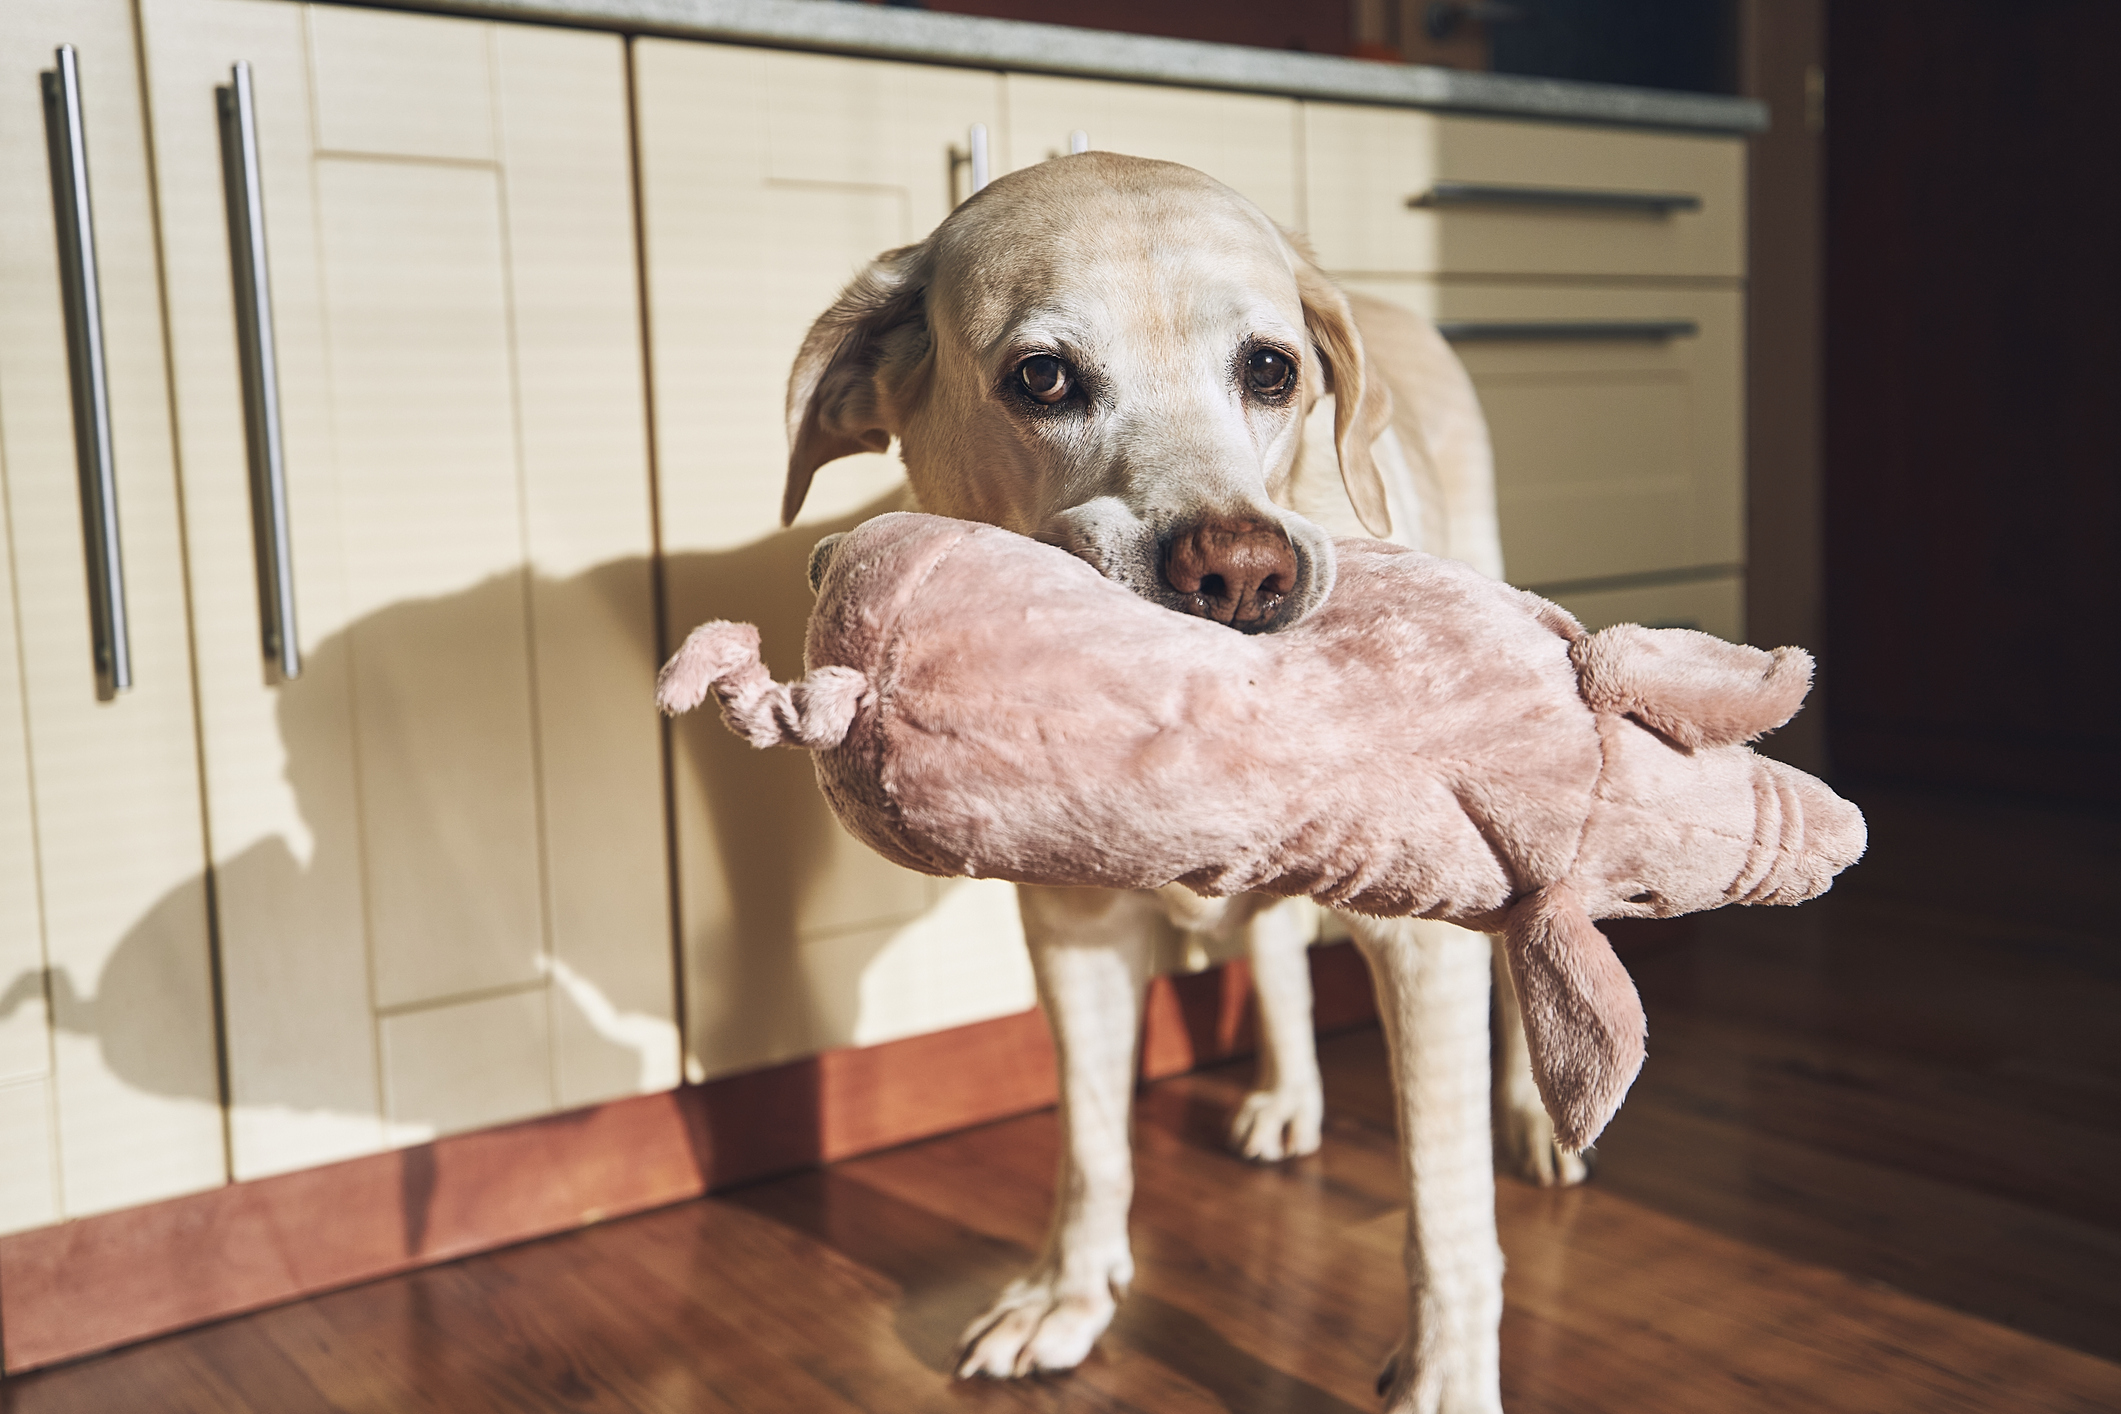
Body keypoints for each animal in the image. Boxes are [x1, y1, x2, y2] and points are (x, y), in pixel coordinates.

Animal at [780, 149, 1578, 1407]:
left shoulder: (1419, 941)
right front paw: (1066, 1293)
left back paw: (1537, 1124)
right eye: (1042, 376)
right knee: (1276, 942)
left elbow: (1444, 1202)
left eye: (1271, 369)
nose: (1241, 572)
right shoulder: (1073, 924)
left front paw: (1448, 1378)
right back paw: (1290, 1094)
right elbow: (1093, 1138)